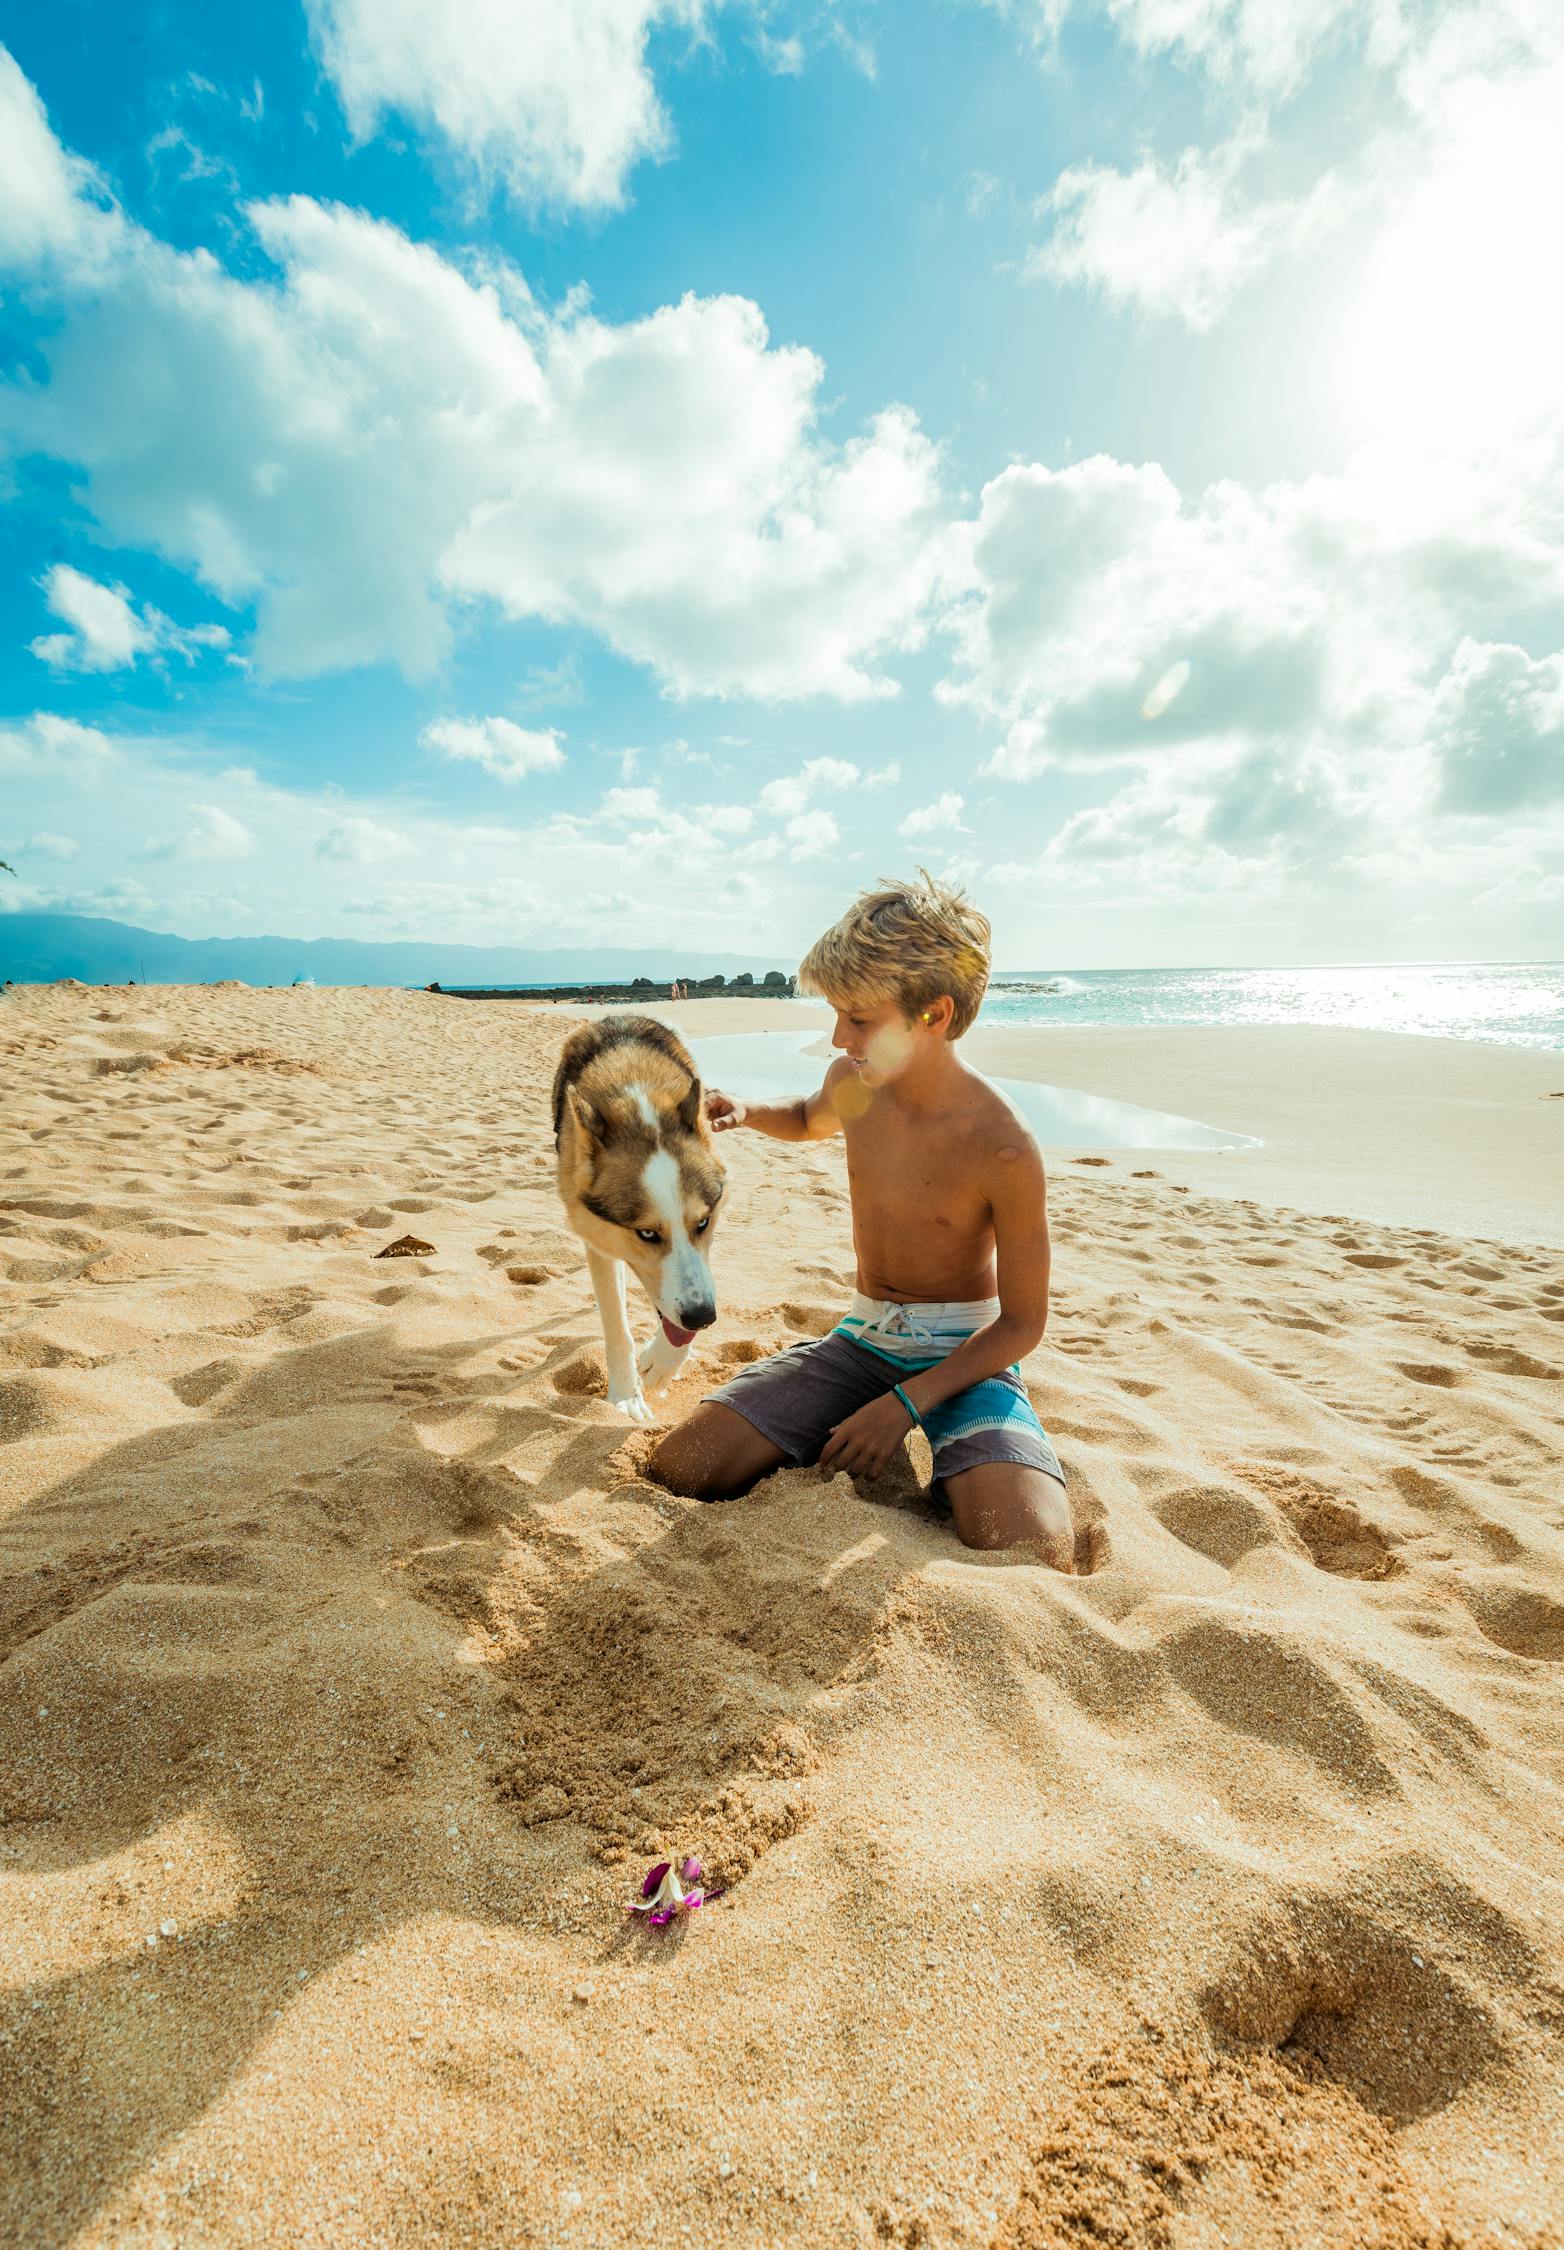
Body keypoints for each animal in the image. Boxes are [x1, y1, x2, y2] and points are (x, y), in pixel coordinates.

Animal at [551, 1021, 729, 1422]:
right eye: (646, 1233)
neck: (638, 1101)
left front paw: (663, 1363)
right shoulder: (598, 1239)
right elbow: (617, 1327)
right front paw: (626, 1396)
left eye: (702, 1223)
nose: (703, 1318)